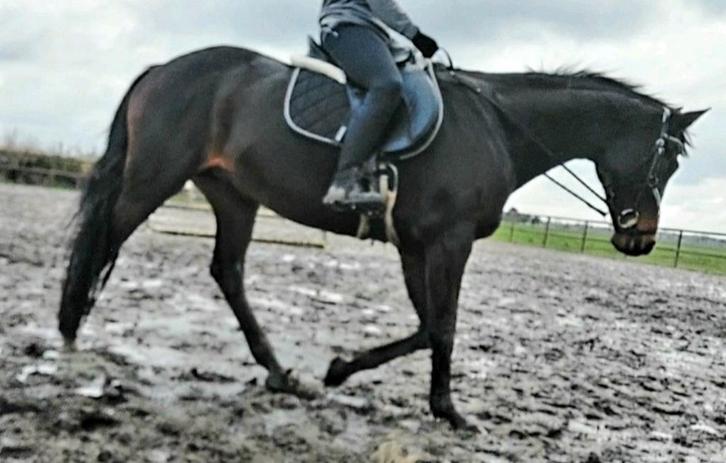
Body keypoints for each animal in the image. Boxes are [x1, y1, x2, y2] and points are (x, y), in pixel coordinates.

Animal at [58, 46, 707, 430]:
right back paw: (66, 330)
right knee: (103, 242)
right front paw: (447, 410)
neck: (497, 127)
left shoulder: (418, 244)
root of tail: (162, 70)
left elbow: (426, 326)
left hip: (233, 196)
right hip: (153, 179)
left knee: (228, 272)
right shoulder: (449, 241)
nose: (642, 241)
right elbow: (442, 326)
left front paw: (344, 371)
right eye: (665, 160)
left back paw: (279, 373)